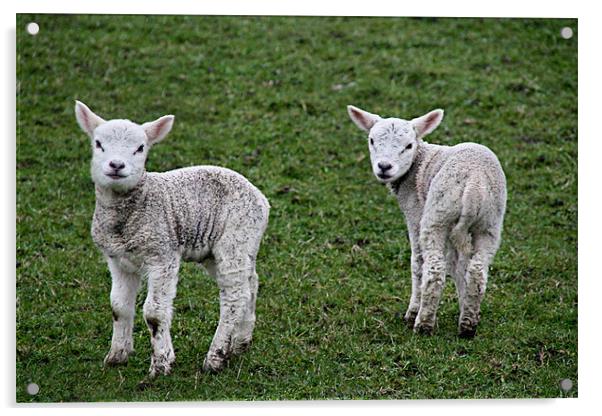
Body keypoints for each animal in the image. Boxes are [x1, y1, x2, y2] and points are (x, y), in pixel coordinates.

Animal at [74, 101, 268, 376]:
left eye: (140, 148)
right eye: (98, 143)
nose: (116, 165)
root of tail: (261, 198)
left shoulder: (162, 255)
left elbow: (154, 312)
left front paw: (161, 363)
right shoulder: (118, 260)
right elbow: (118, 307)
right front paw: (116, 356)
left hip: (237, 235)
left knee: (235, 294)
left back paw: (215, 357)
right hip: (222, 250)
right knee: (250, 282)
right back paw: (241, 342)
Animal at [344, 105, 504, 338]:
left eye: (409, 145)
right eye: (372, 140)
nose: (384, 167)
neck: (418, 162)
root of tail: (473, 187)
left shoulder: (415, 213)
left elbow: (417, 262)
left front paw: (412, 312)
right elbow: (459, 266)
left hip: (437, 215)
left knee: (435, 269)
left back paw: (423, 323)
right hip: (490, 223)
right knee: (476, 271)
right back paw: (468, 324)